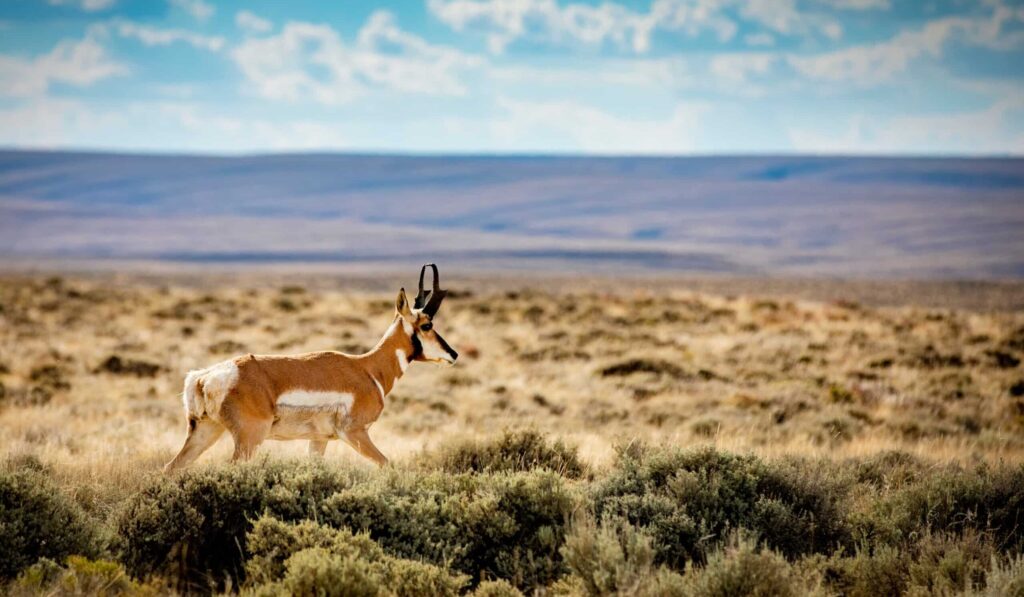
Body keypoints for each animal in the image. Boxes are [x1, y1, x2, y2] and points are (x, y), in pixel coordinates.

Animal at [163, 265, 458, 472]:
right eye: (427, 325)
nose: (453, 354)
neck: (367, 368)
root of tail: (203, 378)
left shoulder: (319, 440)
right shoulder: (354, 433)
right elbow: (387, 464)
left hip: (205, 431)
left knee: (171, 468)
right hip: (249, 439)